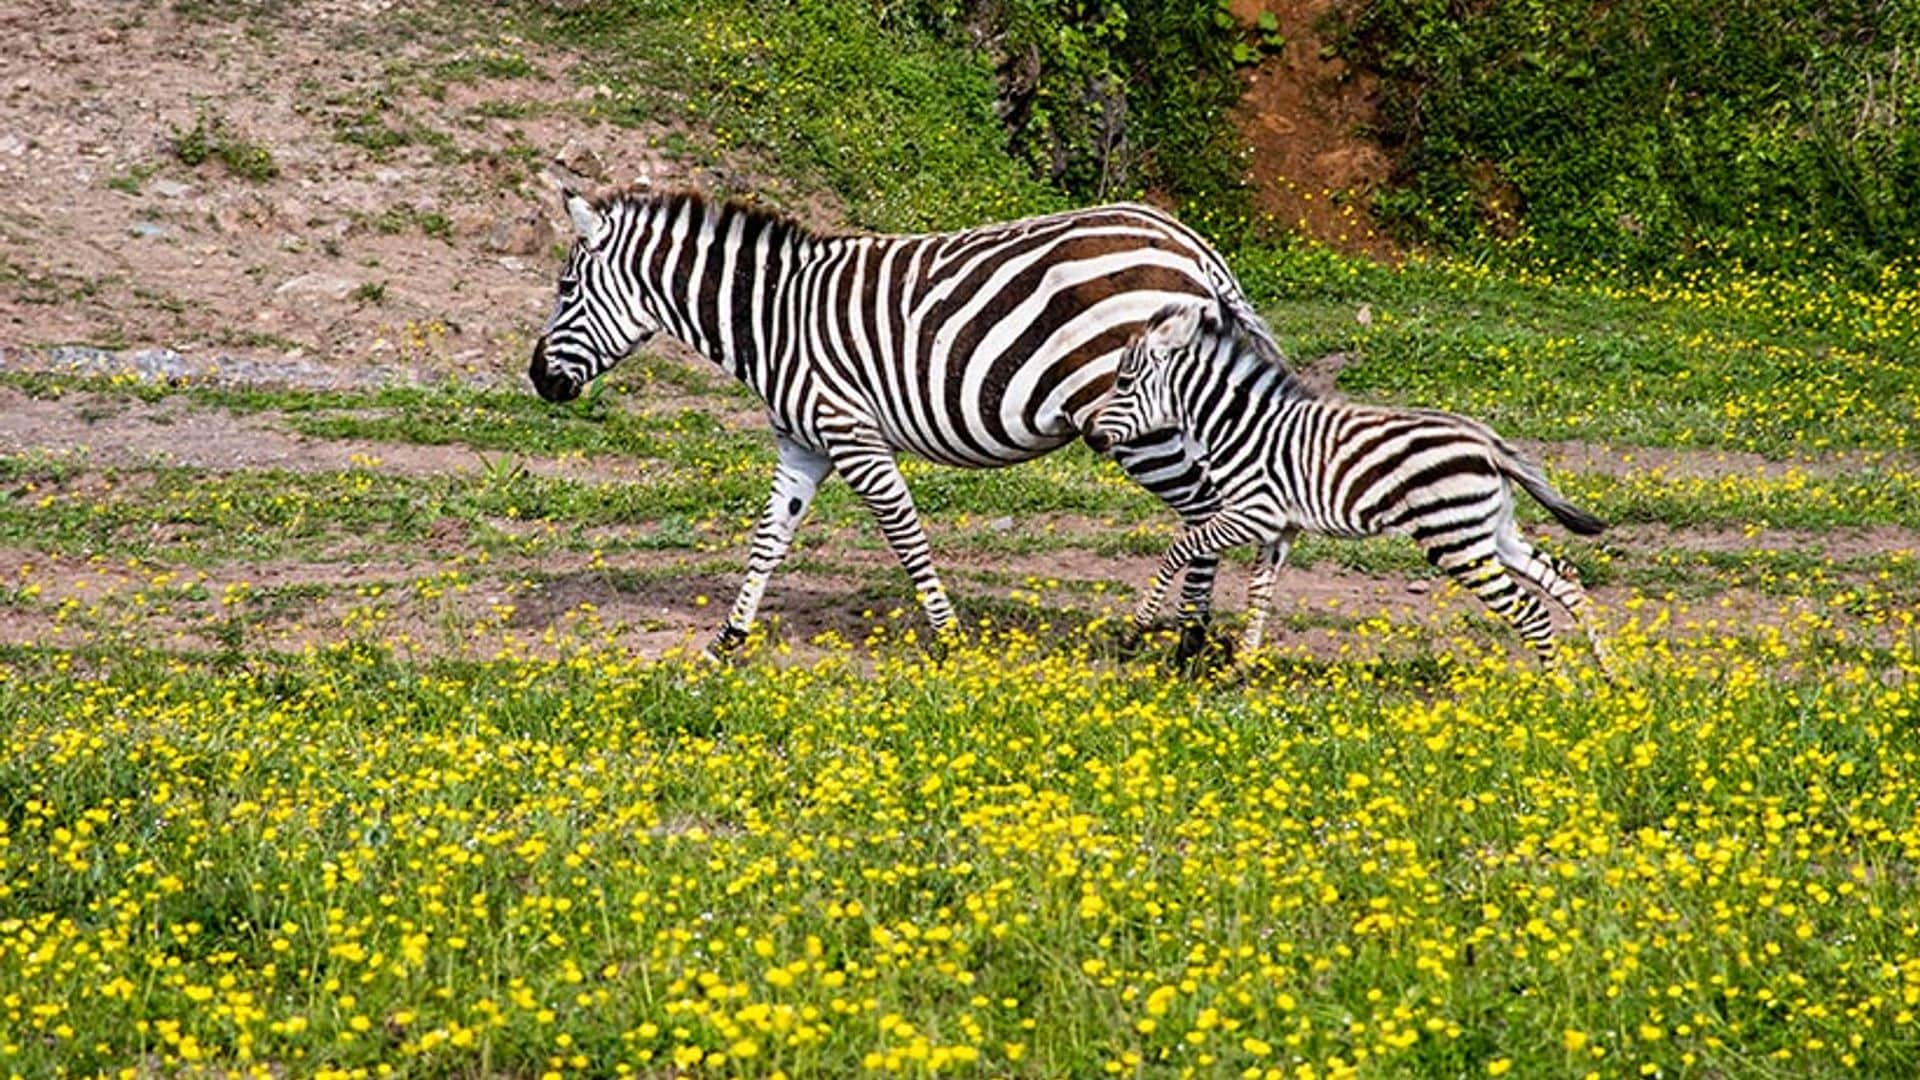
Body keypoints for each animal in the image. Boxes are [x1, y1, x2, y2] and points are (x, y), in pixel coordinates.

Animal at [1090, 295, 1612, 664]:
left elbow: (1179, 551)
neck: (1238, 425)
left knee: (1532, 611)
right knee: (1565, 580)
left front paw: (1135, 632)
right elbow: (1259, 590)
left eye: (1123, 383)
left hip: (1455, 541)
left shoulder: (1251, 513)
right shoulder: (1280, 528)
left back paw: (1555, 694)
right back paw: (1607, 679)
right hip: (1489, 532)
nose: (1091, 436)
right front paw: (1242, 667)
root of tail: (1488, 442)